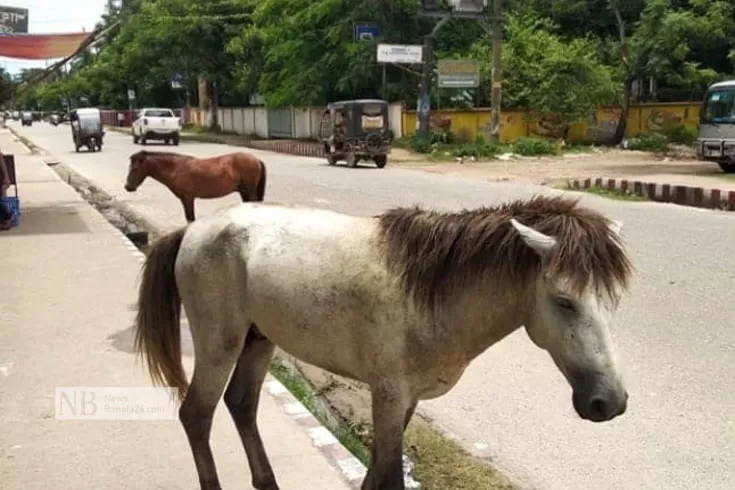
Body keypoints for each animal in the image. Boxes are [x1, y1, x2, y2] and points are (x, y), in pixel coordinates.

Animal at [124, 149, 268, 222]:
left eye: (135, 169)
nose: (127, 187)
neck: (176, 168)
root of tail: (256, 160)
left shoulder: (188, 198)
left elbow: (190, 219)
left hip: (249, 191)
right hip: (244, 192)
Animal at [131, 194, 632, 490]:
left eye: (614, 300)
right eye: (565, 301)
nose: (609, 402)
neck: (431, 293)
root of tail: (192, 231)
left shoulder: (405, 402)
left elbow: (376, 472)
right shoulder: (388, 396)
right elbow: (388, 477)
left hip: (259, 340)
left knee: (241, 405)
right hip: (221, 343)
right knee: (197, 415)